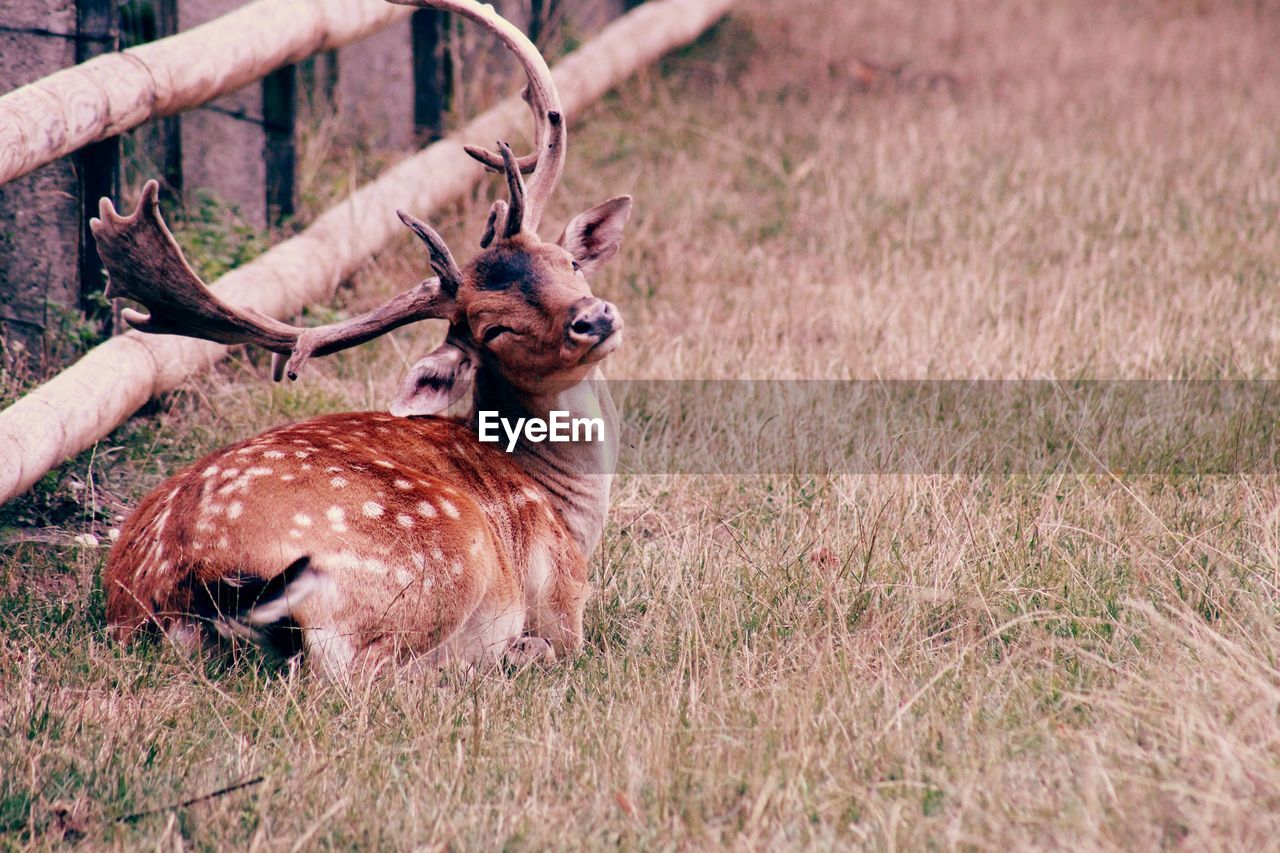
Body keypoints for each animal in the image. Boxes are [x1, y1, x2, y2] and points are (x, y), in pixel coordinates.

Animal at [88, 0, 629, 676]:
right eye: (494, 328)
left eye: (569, 262)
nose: (595, 317)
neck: (565, 505)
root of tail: (189, 577)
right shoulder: (565, 591)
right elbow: (568, 638)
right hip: (435, 555)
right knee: (362, 674)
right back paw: (499, 657)